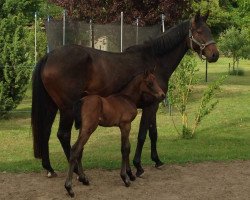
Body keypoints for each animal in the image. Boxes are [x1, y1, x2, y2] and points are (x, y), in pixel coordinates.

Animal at [31, 11, 219, 177]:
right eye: (199, 31)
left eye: (209, 30)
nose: (215, 55)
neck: (155, 60)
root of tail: (49, 56)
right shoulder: (150, 105)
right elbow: (143, 135)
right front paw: (138, 166)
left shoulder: (155, 104)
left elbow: (153, 133)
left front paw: (157, 161)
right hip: (67, 108)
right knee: (63, 134)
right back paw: (76, 171)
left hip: (52, 105)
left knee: (45, 132)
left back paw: (50, 169)